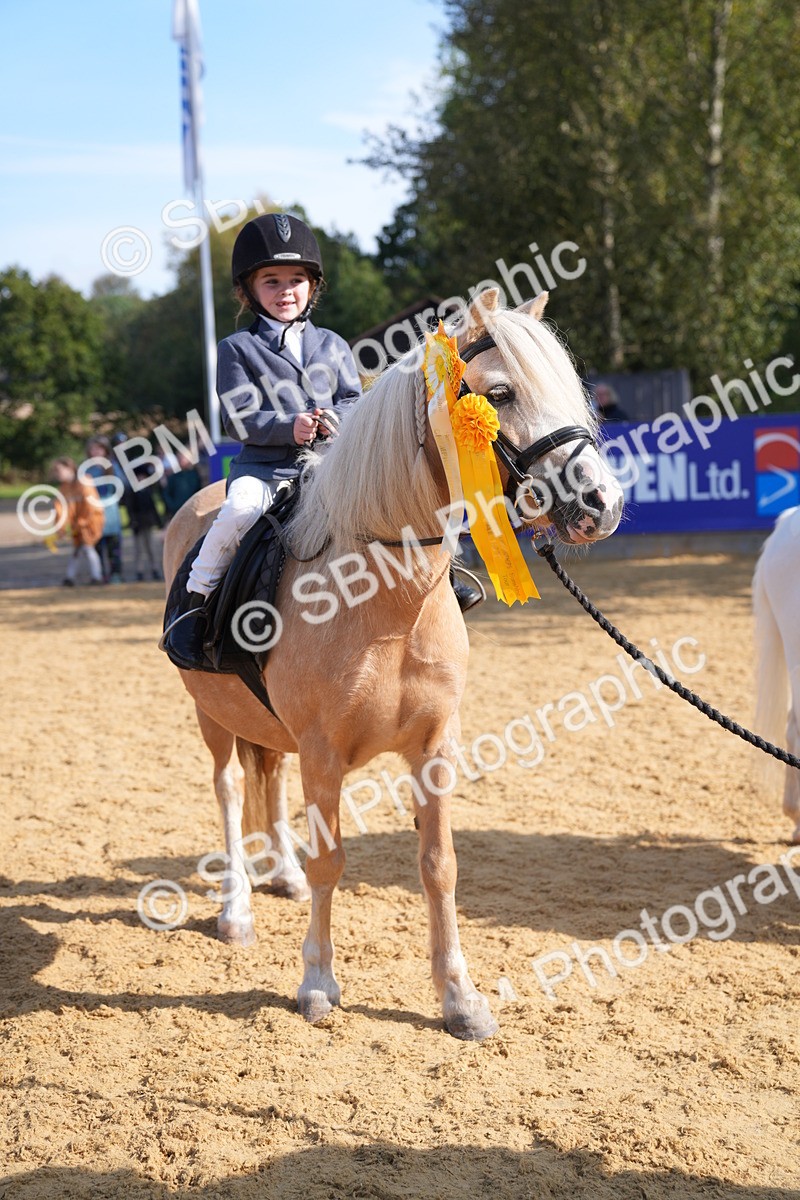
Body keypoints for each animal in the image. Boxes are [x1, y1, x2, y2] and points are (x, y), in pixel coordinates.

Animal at [162, 289, 624, 1040]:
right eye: (500, 393)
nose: (600, 505)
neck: (384, 600)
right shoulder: (323, 753)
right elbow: (331, 860)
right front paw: (318, 983)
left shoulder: (435, 746)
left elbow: (439, 865)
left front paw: (460, 998)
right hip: (211, 713)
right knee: (229, 790)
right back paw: (237, 910)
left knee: (268, 781)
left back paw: (281, 876)